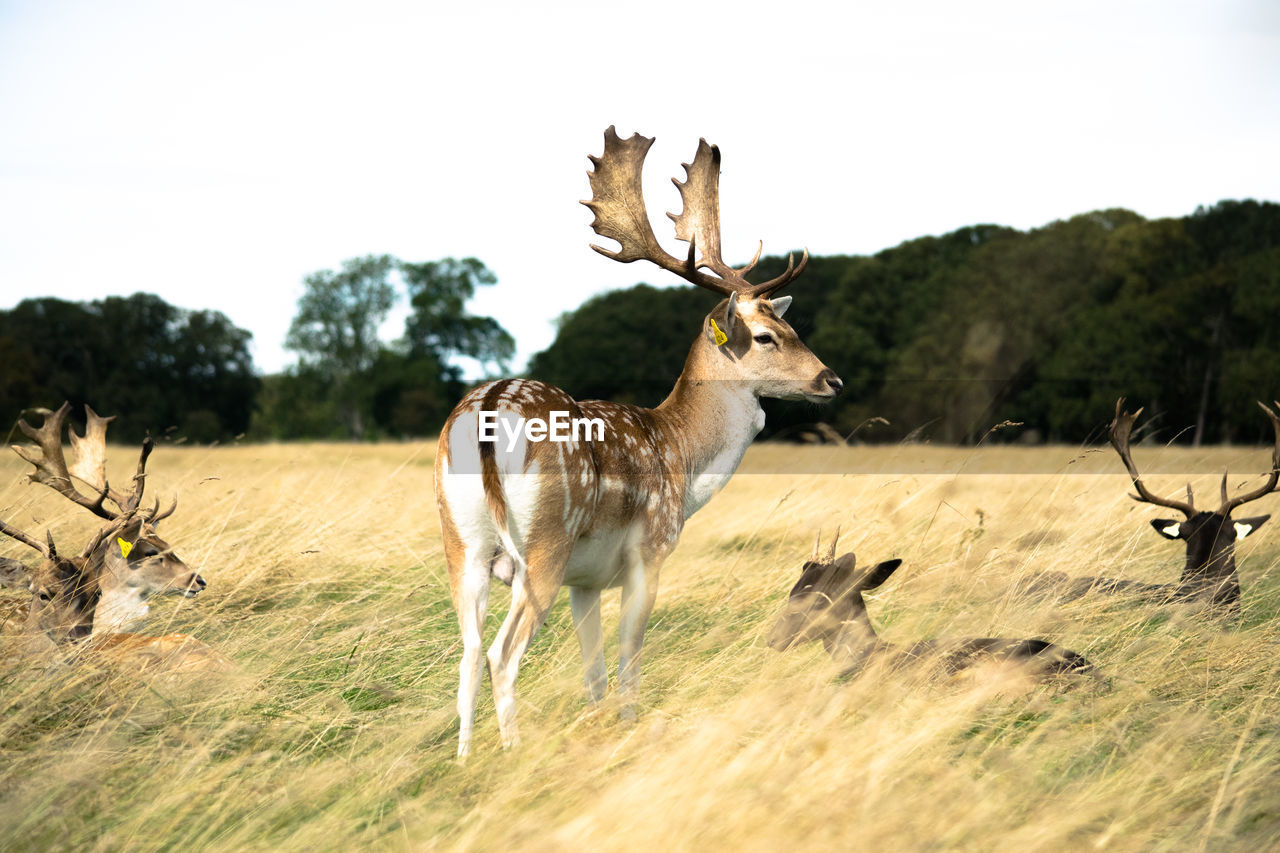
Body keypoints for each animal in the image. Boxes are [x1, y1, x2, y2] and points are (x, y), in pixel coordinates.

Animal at [435, 124, 844, 753]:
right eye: (768, 336)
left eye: (791, 324)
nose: (832, 380)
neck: (681, 456)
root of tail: (486, 408)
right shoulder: (649, 550)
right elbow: (629, 655)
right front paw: (628, 728)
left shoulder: (585, 580)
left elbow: (594, 668)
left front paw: (599, 723)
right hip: (544, 543)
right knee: (503, 654)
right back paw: (513, 752)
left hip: (461, 543)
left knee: (467, 655)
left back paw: (463, 760)